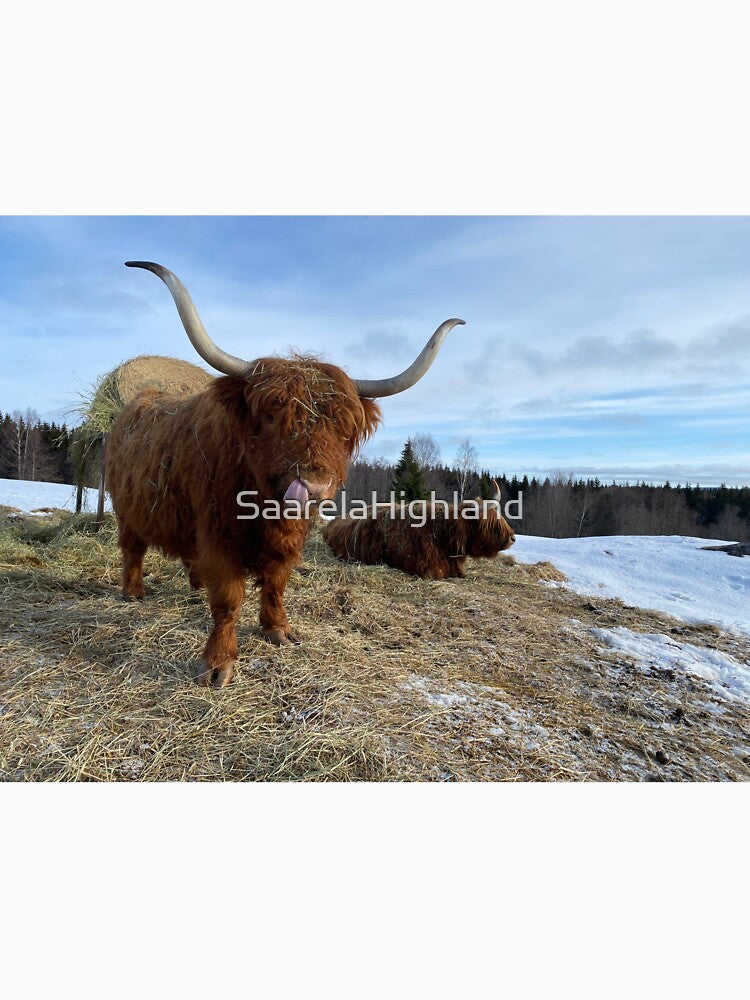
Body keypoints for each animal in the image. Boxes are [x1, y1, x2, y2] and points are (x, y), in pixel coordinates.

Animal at [105, 261, 464, 687]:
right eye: (274, 414)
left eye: (344, 427)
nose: (314, 486)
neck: (264, 507)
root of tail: (138, 402)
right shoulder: (218, 535)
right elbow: (228, 598)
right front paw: (217, 664)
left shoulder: (288, 540)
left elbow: (276, 583)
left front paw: (278, 629)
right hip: (126, 511)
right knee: (132, 549)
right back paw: (133, 592)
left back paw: (193, 587)